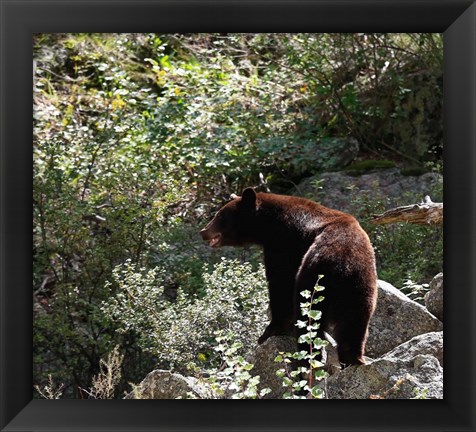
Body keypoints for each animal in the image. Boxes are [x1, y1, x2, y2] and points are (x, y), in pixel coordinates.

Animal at [199, 187, 378, 366]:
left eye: (219, 215)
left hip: (315, 274)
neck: (268, 222)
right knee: (354, 323)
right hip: (361, 286)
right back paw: (353, 359)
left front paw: (270, 331)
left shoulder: (284, 243)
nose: (203, 232)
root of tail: (343, 263)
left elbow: (281, 283)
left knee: (307, 313)